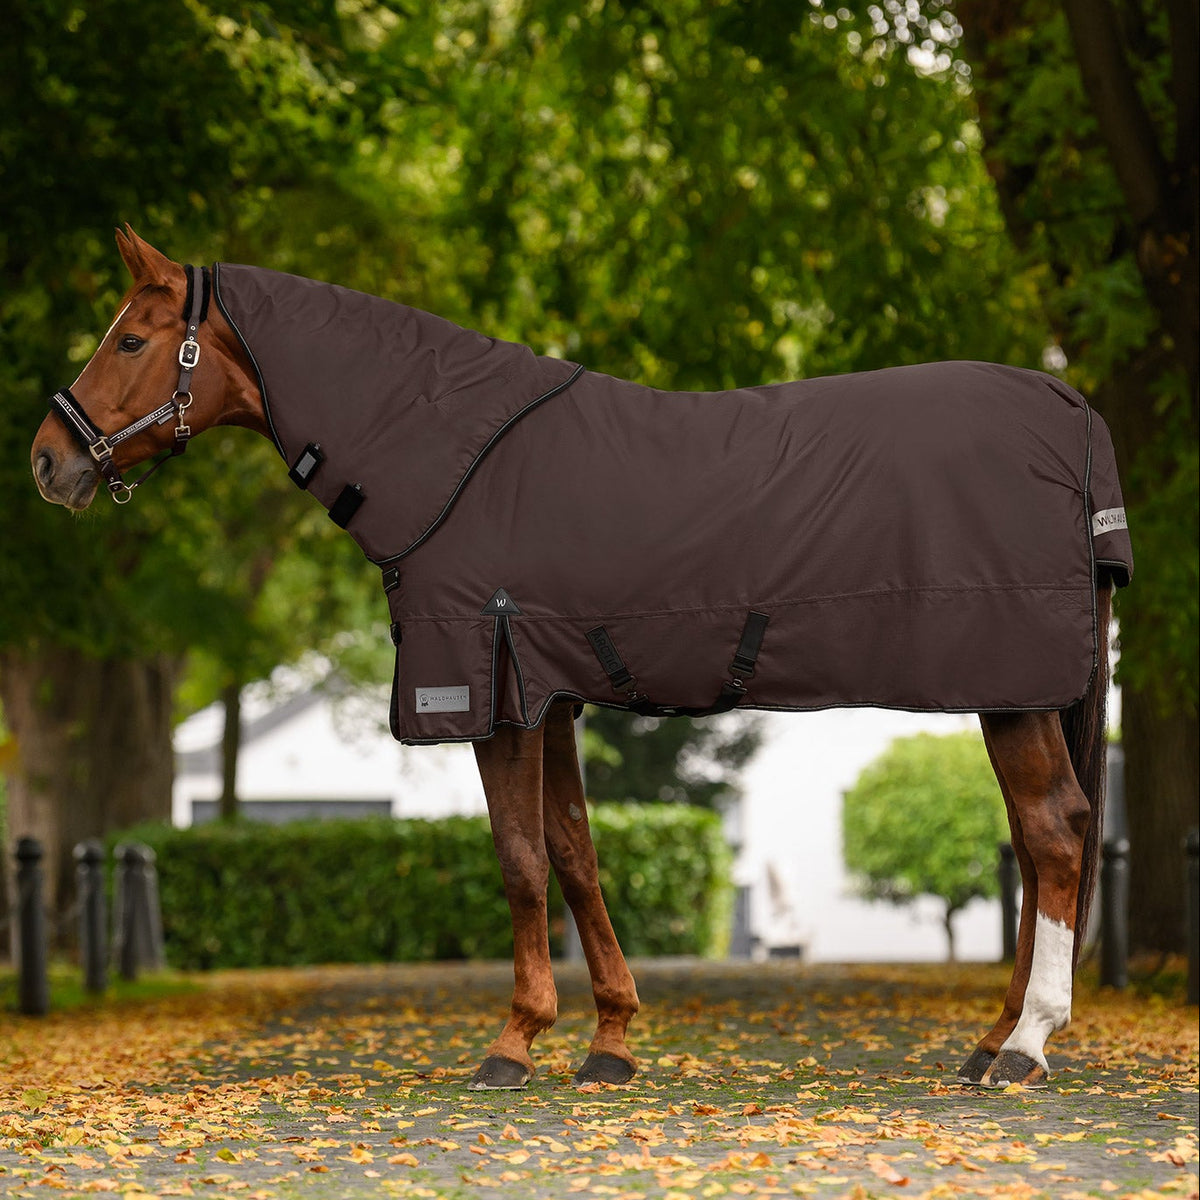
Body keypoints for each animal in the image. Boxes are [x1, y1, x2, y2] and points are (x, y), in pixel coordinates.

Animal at [31, 227, 1131, 1091]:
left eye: (131, 338)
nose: (49, 459)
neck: (451, 457)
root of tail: (1069, 408)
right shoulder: (546, 695)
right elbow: (574, 855)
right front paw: (610, 1041)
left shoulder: (490, 688)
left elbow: (520, 863)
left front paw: (514, 1045)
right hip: (1014, 693)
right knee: (1036, 842)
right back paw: (992, 1041)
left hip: (1010, 690)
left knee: (1055, 836)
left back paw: (1026, 1047)